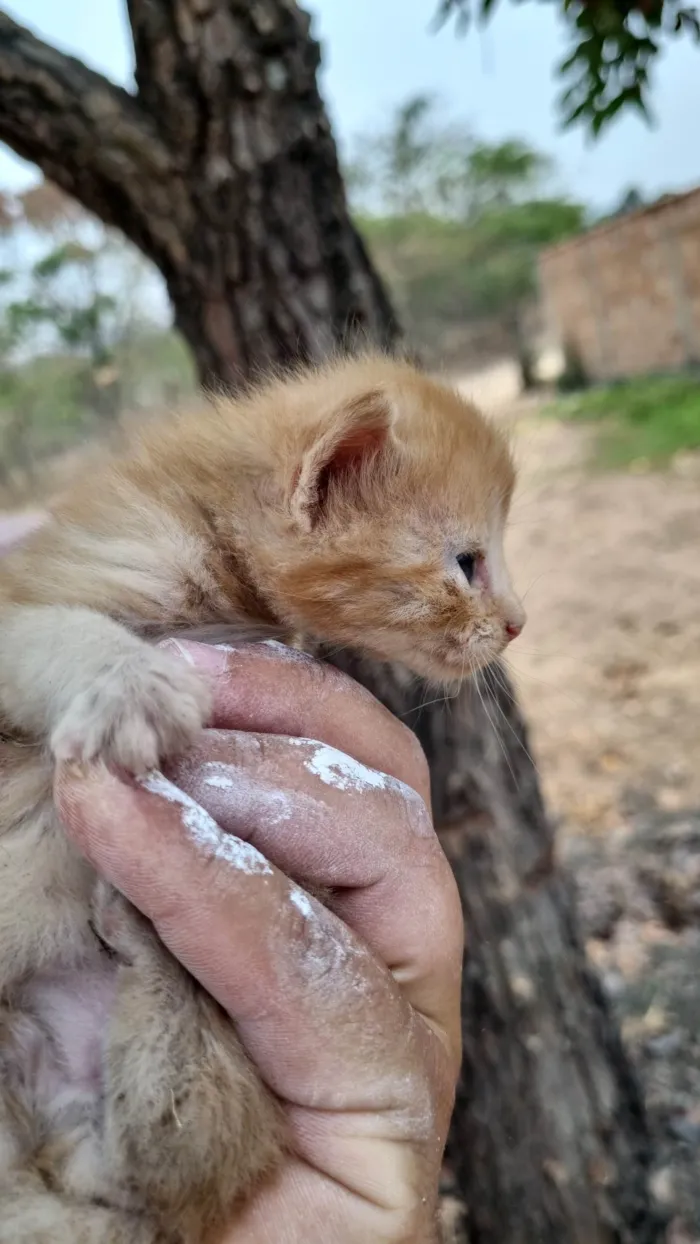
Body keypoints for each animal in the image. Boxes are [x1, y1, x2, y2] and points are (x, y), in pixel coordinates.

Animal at [0, 353, 522, 1244]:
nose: (518, 624)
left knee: (163, 1156)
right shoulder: (51, 591)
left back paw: (141, 945)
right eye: (467, 562)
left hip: (152, 1100)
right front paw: (131, 685)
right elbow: (57, 633)